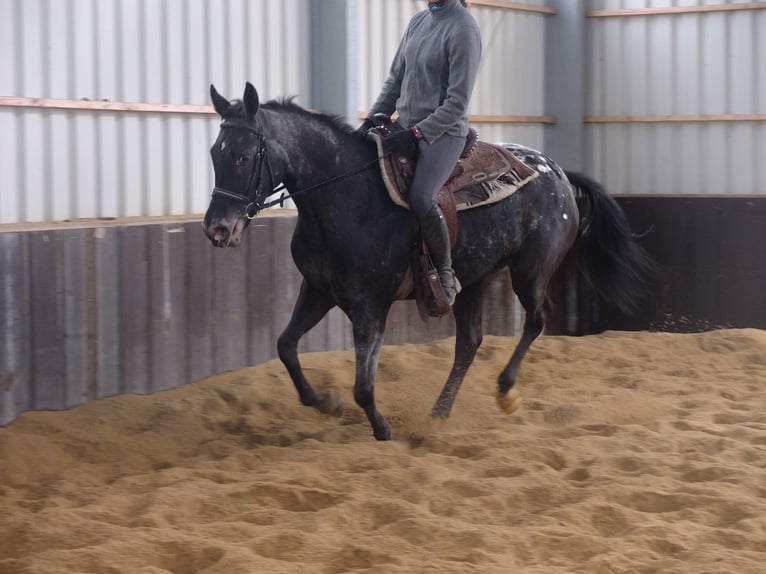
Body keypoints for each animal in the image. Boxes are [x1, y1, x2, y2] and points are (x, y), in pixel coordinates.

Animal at [204, 82, 656, 440]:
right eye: (214, 153)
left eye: (244, 156)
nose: (216, 229)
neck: (348, 196)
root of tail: (559, 174)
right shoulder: (318, 290)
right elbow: (285, 347)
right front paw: (326, 402)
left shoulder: (370, 307)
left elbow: (363, 386)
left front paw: (383, 429)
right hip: (474, 281)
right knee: (469, 345)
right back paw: (439, 414)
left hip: (530, 273)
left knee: (537, 320)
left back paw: (505, 391)